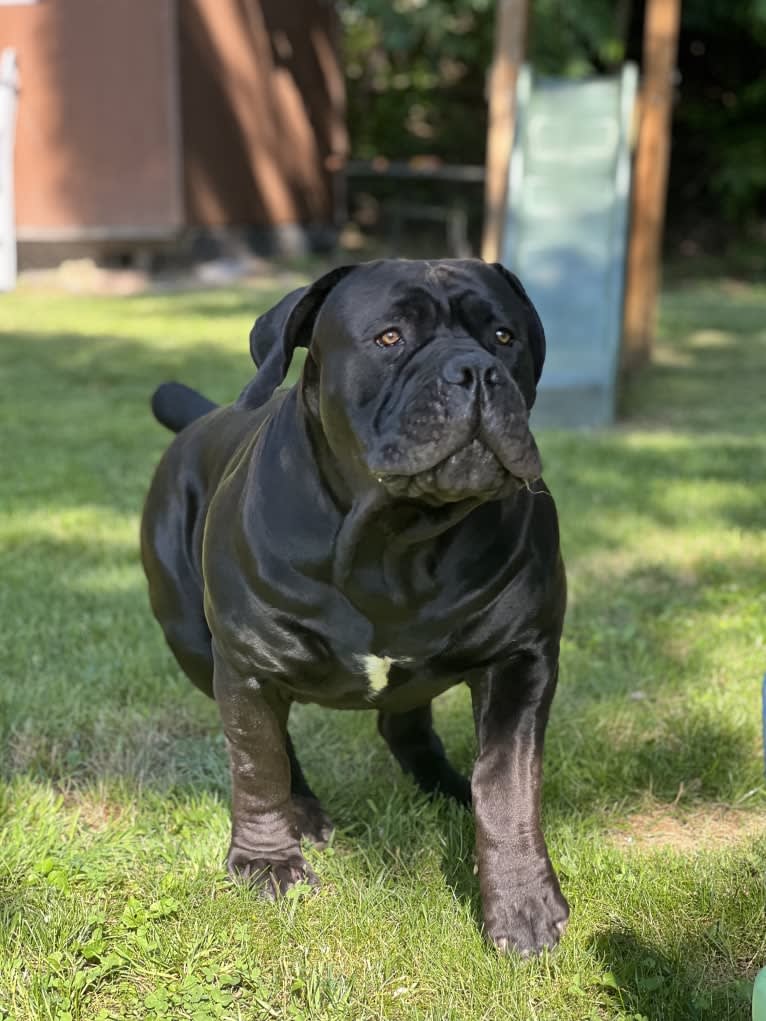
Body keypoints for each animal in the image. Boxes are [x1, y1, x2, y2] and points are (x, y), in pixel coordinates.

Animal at [140, 259, 571, 951]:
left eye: (504, 337)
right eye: (389, 338)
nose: (475, 371)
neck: (396, 543)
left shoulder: (522, 660)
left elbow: (507, 785)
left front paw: (523, 905)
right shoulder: (249, 664)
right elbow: (257, 763)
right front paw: (266, 864)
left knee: (405, 724)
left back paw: (447, 790)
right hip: (193, 643)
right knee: (276, 743)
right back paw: (305, 813)